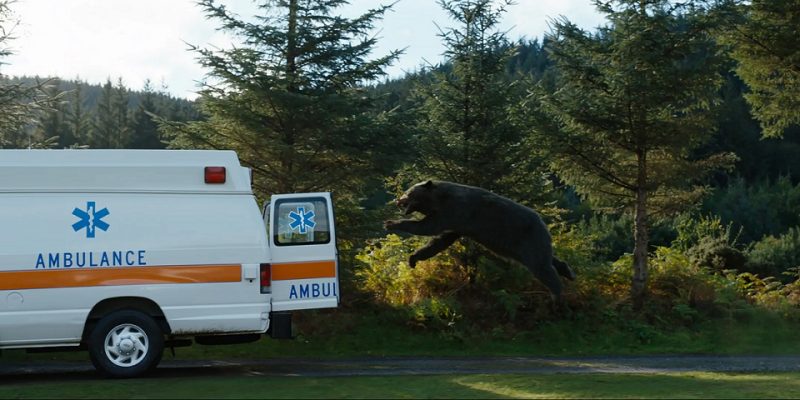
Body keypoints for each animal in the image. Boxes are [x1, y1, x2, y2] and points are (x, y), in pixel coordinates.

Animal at [384, 180, 575, 298]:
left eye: (408, 192)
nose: (397, 200)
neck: (440, 199)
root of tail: (544, 223)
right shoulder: (457, 224)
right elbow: (440, 240)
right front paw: (413, 258)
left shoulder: (455, 211)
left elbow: (428, 227)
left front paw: (391, 223)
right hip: (530, 245)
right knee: (549, 260)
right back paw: (568, 272)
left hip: (527, 239)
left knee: (543, 268)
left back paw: (557, 295)